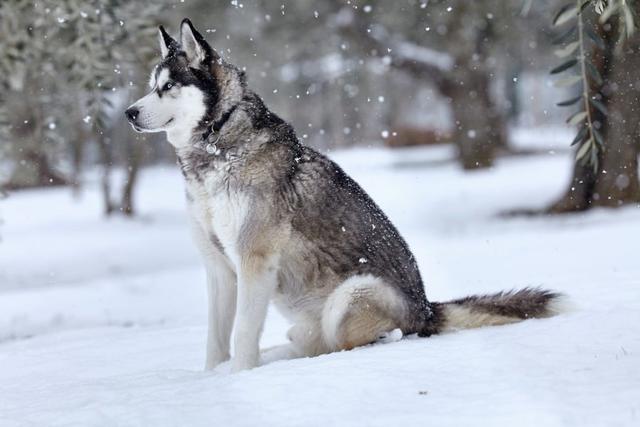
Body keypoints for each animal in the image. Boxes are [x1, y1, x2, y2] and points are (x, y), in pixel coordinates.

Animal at [124, 19, 560, 372]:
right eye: (151, 87)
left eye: (167, 87)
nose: (129, 112)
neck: (216, 144)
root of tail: (426, 309)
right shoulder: (219, 268)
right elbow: (216, 342)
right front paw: (211, 379)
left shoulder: (254, 260)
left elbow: (242, 335)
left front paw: (239, 379)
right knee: (312, 344)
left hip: (352, 295)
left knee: (353, 343)